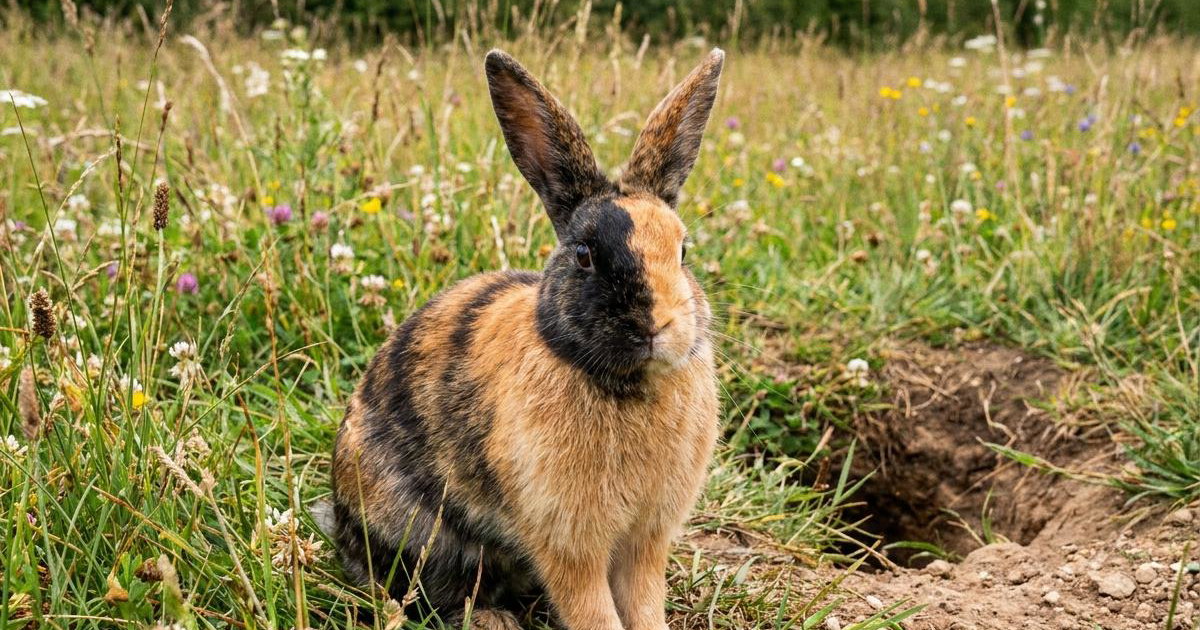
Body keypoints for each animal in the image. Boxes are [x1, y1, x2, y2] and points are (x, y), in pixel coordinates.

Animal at [329, 47, 725, 630]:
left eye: (683, 251)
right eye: (584, 255)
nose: (658, 326)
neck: (627, 384)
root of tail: (338, 521)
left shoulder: (645, 542)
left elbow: (643, 602)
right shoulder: (569, 544)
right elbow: (592, 609)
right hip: (424, 536)